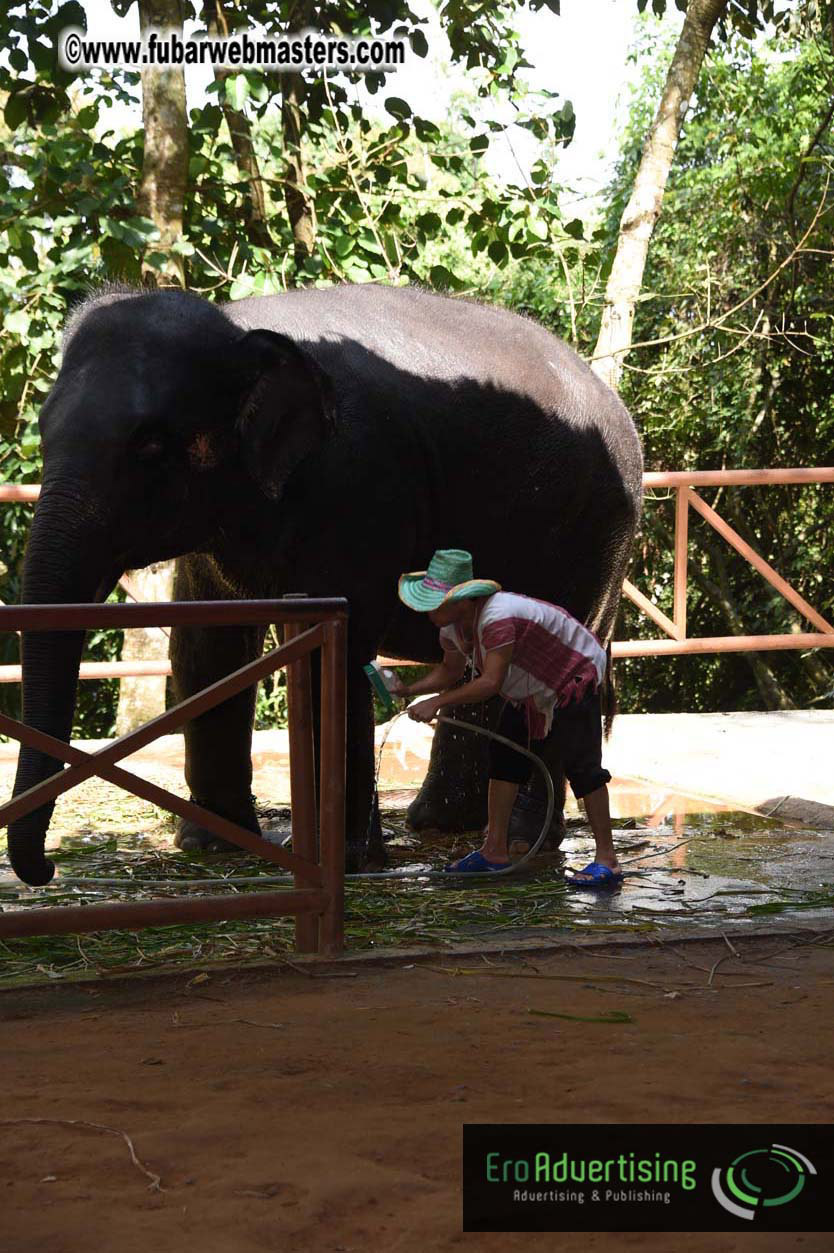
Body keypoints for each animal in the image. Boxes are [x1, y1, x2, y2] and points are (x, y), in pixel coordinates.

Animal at [6, 281, 643, 887]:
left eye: (151, 446)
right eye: (42, 429)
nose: (47, 869)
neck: (237, 324)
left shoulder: (359, 485)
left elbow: (331, 647)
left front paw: (342, 859)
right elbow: (206, 647)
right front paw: (212, 846)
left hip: (595, 533)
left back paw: (518, 837)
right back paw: (442, 825)